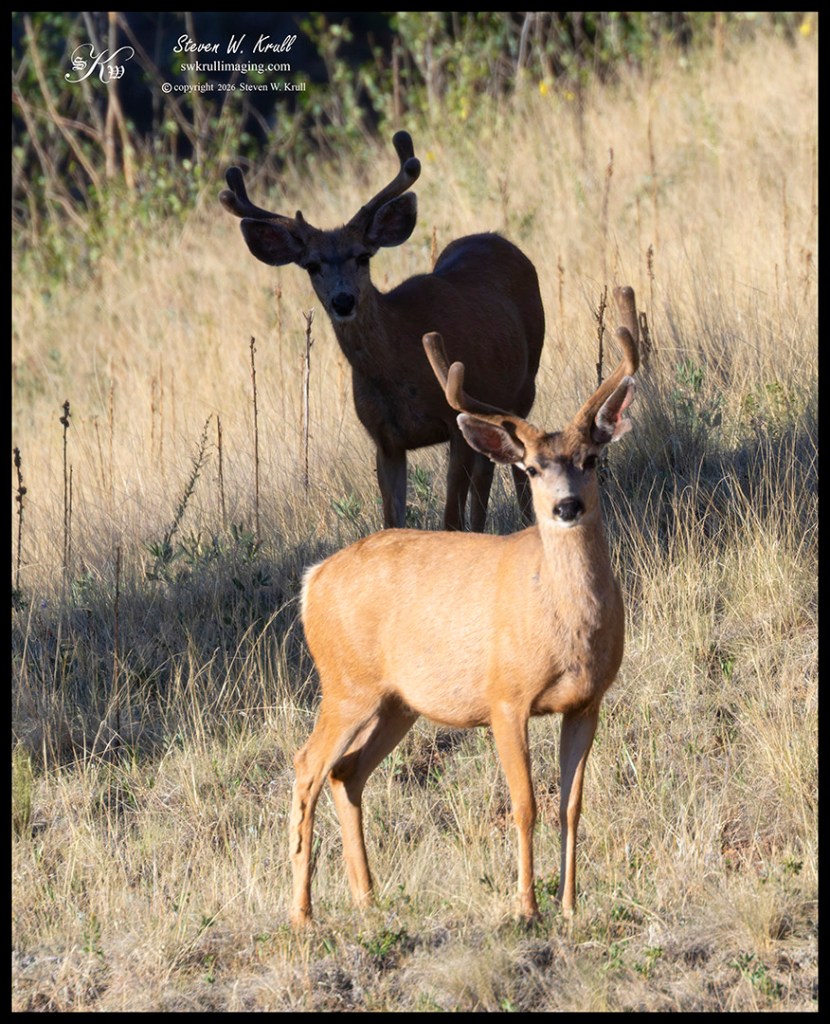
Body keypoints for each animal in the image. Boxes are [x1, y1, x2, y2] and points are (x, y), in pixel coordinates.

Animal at [219, 131, 545, 531]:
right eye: (311, 265)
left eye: (362, 256)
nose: (343, 300)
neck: (400, 366)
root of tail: (497, 238)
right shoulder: (384, 440)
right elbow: (393, 521)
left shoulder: (453, 422)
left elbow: (450, 518)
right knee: (487, 470)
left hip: (525, 383)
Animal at [288, 286, 640, 927]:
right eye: (530, 468)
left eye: (592, 459)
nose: (567, 506)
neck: (565, 628)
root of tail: (313, 579)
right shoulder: (505, 697)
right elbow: (525, 803)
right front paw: (526, 906)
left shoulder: (587, 702)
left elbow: (571, 806)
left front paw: (570, 905)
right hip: (345, 682)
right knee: (307, 765)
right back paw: (302, 913)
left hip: (397, 701)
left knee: (346, 773)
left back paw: (367, 898)